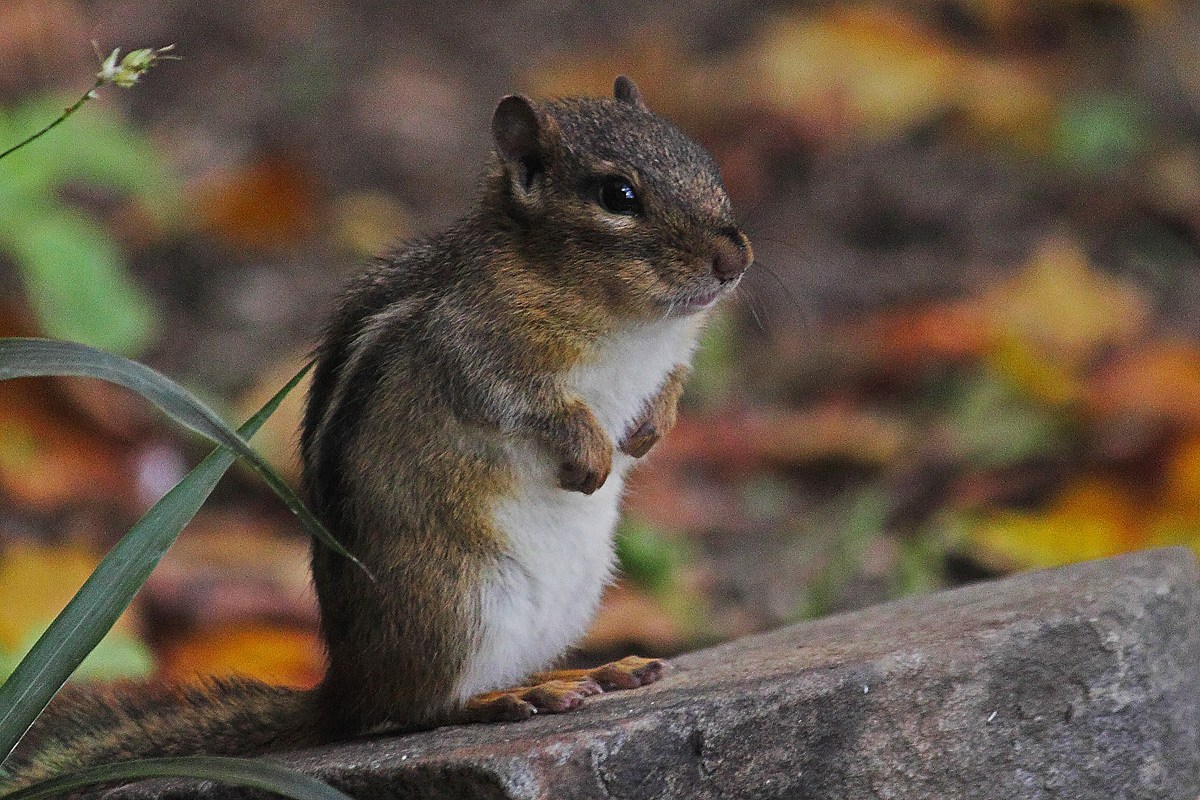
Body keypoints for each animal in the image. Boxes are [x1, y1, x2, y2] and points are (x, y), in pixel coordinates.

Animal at [2, 75, 751, 789]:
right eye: (617, 195)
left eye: (705, 163)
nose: (734, 260)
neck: (628, 319)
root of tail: (345, 686)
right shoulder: (477, 351)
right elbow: (525, 404)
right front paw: (592, 453)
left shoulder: (671, 354)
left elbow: (669, 385)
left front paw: (650, 430)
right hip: (456, 600)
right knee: (416, 710)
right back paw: (501, 700)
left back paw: (580, 674)